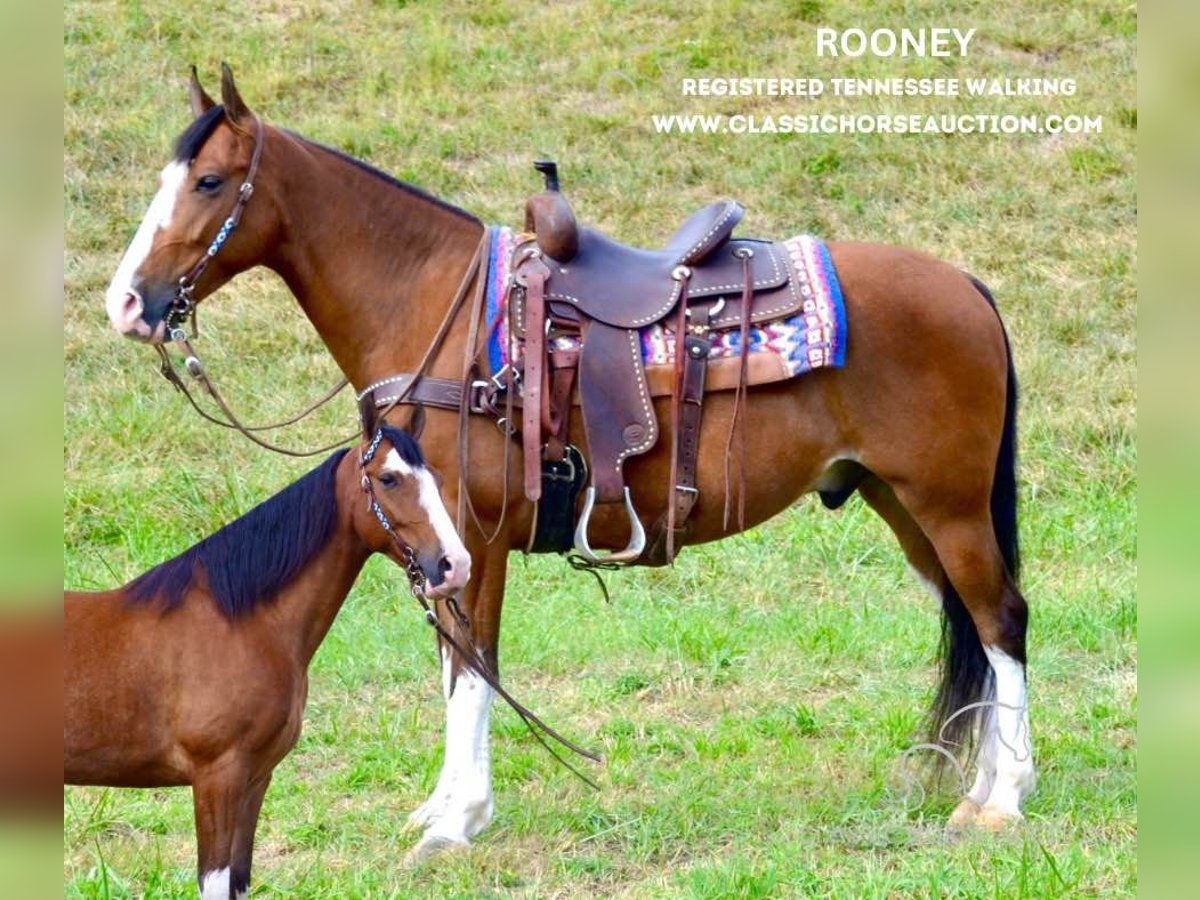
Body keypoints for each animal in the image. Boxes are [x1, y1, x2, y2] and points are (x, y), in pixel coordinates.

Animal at [64, 424, 468, 900]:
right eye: (389, 479)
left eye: (436, 480)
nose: (455, 566)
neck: (241, 622)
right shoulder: (218, 778)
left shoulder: (255, 779)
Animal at [100, 66, 1032, 854]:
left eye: (209, 182)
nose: (127, 303)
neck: (436, 307)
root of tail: (968, 288)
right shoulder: (435, 540)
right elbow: (455, 664)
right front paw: (444, 809)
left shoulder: (470, 537)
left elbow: (474, 664)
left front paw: (457, 822)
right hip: (904, 504)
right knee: (975, 626)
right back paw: (988, 783)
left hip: (946, 504)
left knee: (1001, 620)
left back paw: (1002, 799)